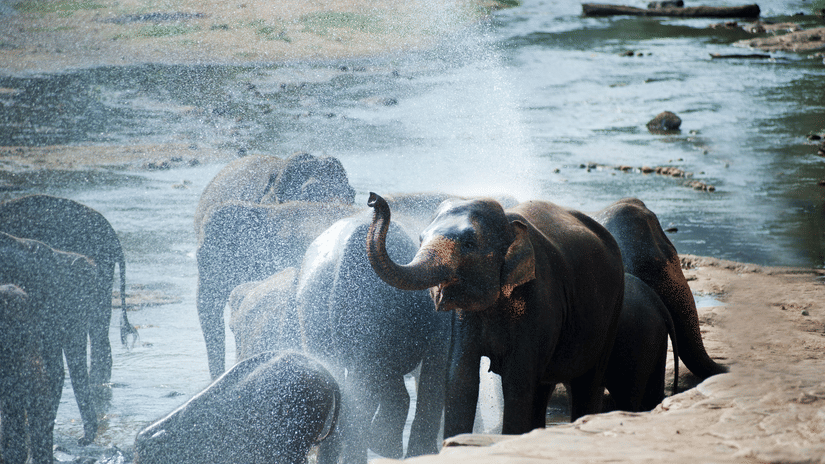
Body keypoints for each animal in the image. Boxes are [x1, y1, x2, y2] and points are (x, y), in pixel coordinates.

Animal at [366, 192, 625, 437]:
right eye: (420, 239)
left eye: (469, 243)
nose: (372, 198)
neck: (509, 221)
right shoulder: (465, 317)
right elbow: (461, 378)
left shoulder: (539, 300)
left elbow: (517, 381)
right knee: (543, 387)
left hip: (614, 310)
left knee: (588, 382)